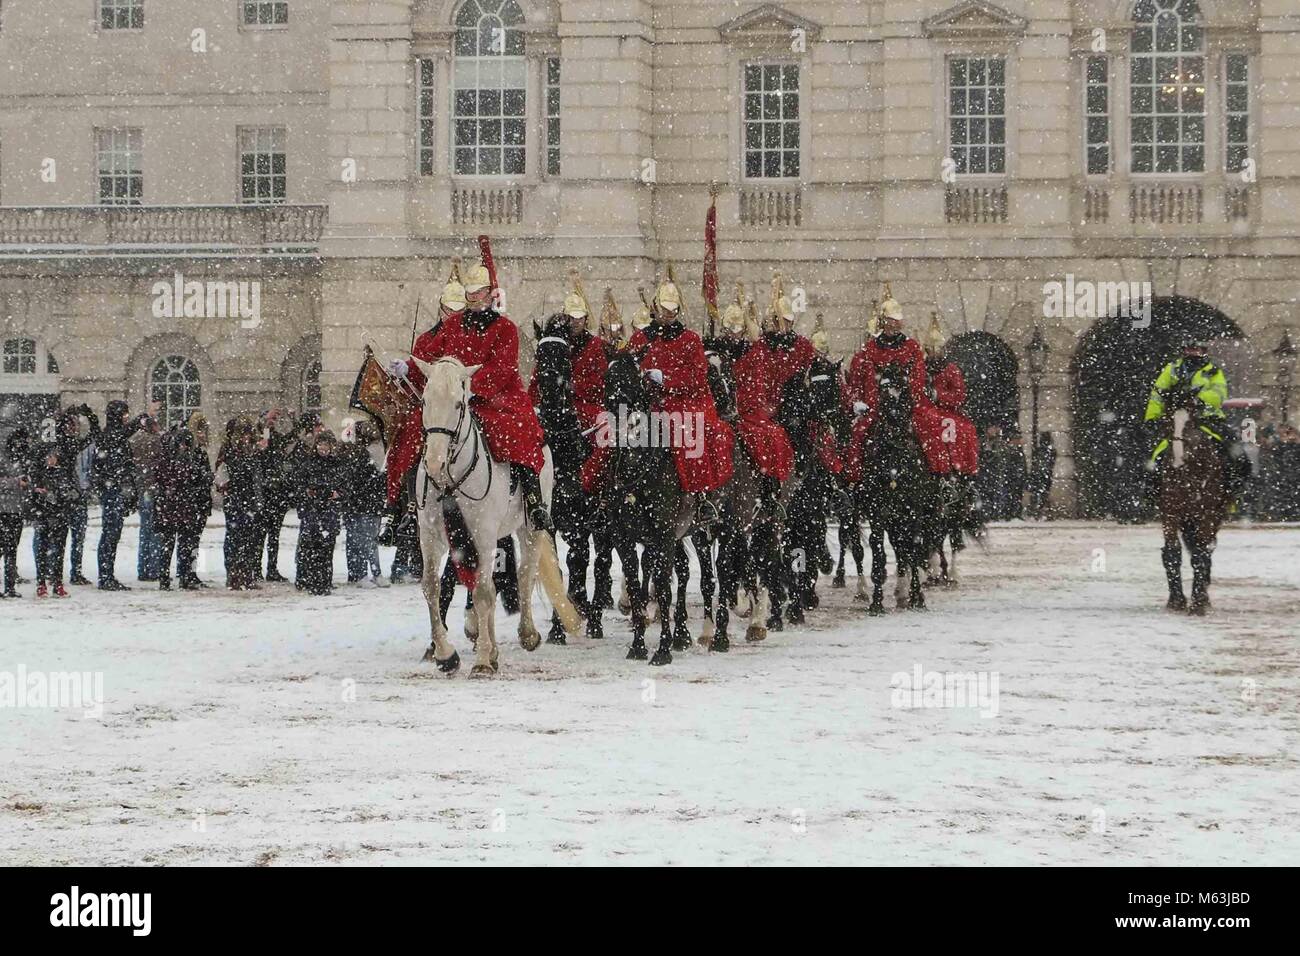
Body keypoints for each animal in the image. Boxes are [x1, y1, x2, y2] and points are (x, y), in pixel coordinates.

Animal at [410, 356, 585, 676]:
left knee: (524, 574)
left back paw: (525, 634)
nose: (434, 463)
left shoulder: (483, 535)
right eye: (425, 401)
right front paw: (446, 654)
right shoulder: (431, 537)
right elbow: (432, 587)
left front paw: (480, 661)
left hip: (529, 527)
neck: (450, 478)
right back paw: (490, 648)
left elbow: (482, 592)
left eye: (458, 404)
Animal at [1159, 392, 1227, 616]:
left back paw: (1203, 596)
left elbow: (1200, 554)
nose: (1178, 459)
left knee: (1206, 550)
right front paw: (1176, 600)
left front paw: (1197, 603)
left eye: (1190, 423)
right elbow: (1172, 552)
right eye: (1167, 420)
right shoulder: (1170, 513)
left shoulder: (1207, 515)